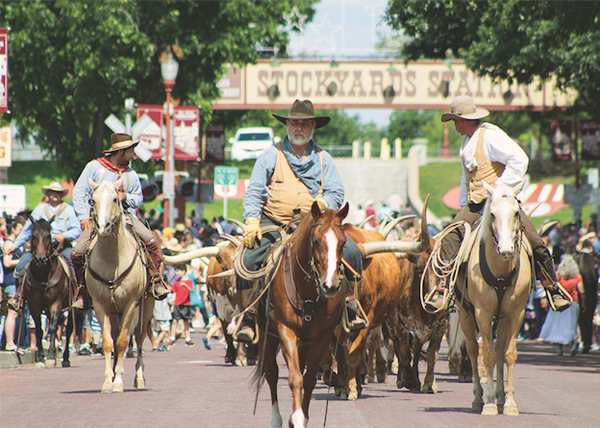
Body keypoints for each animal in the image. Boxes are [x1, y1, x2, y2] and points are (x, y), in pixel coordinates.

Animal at [22, 219, 74, 370]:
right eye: (33, 235)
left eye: (49, 235)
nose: (40, 259)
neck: (43, 277)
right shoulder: (34, 306)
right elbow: (39, 331)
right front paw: (40, 359)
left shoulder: (56, 302)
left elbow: (52, 328)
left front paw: (50, 357)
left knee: (69, 329)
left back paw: (65, 358)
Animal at [88, 178, 156, 394]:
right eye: (93, 200)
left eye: (115, 199)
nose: (103, 227)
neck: (112, 259)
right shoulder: (100, 305)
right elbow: (109, 342)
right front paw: (108, 381)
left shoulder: (131, 304)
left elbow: (124, 341)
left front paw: (118, 382)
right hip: (114, 313)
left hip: (146, 308)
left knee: (140, 338)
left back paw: (139, 377)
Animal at [458, 182, 532, 416]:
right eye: (492, 214)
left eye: (516, 212)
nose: (507, 250)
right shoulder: (482, 312)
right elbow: (487, 355)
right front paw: (489, 402)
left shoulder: (516, 313)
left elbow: (508, 354)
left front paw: (509, 402)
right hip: (466, 315)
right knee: (473, 350)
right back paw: (478, 398)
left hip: (503, 318)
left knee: (499, 349)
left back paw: (500, 397)